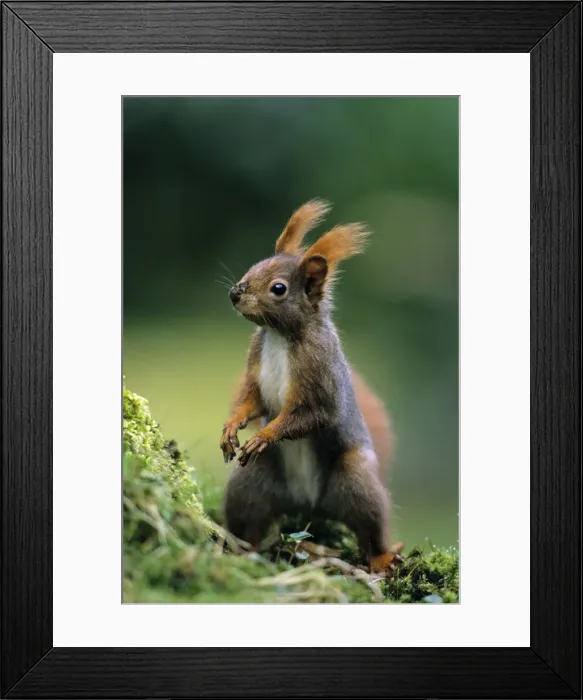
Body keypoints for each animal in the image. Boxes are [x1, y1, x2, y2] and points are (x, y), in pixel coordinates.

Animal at [220, 200, 394, 572]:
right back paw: (239, 549)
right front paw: (230, 427)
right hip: (251, 483)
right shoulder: (254, 364)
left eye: (278, 288)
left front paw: (265, 435)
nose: (234, 293)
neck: (279, 334)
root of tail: (308, 506)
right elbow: (251, 400)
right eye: (254, 266)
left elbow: (312, 415)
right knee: (247, 521)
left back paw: (382, 557)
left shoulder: (320, 375)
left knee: (370, 525)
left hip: (355, 479)